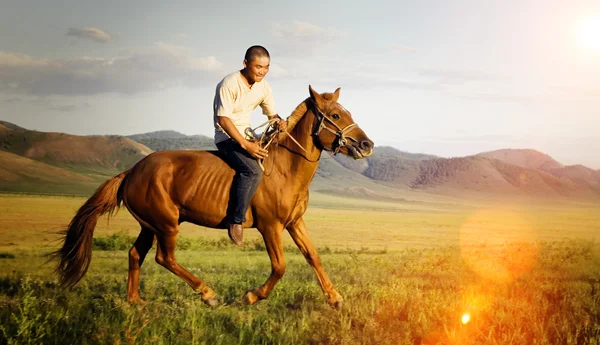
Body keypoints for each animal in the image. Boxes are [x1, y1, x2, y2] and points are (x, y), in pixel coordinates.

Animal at [56, 85, 376, 306]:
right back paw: (207, 293)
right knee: (164, 257)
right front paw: (251, 296)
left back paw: (135, 301)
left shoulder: (294, 223)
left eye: (348, 113)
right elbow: (280, 267)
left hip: (150, 224)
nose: (366, 144)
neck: (285, 168)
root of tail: (132, 171)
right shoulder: (270, 226)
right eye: (335, 115)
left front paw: (334, 297)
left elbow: (313, 257)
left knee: (136, 254)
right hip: (166, 225)